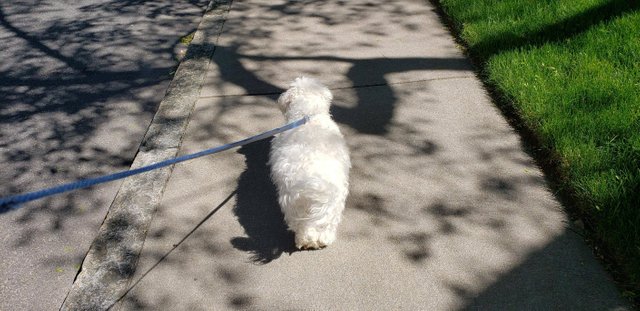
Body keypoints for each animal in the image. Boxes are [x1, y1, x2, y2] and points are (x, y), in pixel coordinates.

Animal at [268, 77, 352, 250]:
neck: (308, 114)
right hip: (333, 205)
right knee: (326, 225)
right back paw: (322, 240)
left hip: (293, 205)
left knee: (302, 226)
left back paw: (304, 241)